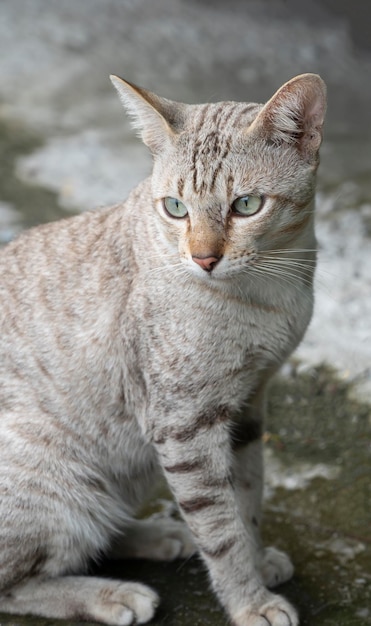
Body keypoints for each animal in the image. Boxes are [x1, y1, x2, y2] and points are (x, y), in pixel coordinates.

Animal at [0, 70, 326, 620]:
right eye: (176, 208)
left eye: (246, 205)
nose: (203, 258)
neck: (269, 289)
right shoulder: (185, 423)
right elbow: (220, 527)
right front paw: (249, 600)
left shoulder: (248, 403)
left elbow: (248, 496)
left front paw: (257, 561)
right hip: (54, 476)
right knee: (21, 581)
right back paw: (112, 593)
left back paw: (158, 535)